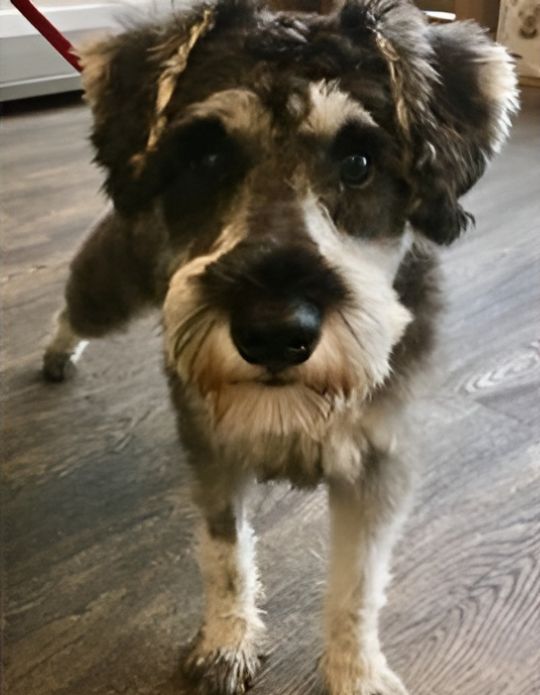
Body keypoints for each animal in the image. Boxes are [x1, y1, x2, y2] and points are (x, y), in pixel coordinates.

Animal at [43, 2, 520, 692]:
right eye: (207, 158)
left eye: (359, 163)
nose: (273, 332)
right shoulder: (216, 457)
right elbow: (226, 557)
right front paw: (227, 643)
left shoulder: (377, 469)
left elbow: (358, 586)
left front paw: (357, 671)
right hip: (107, 286)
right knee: (73, 307)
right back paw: (56, 354)